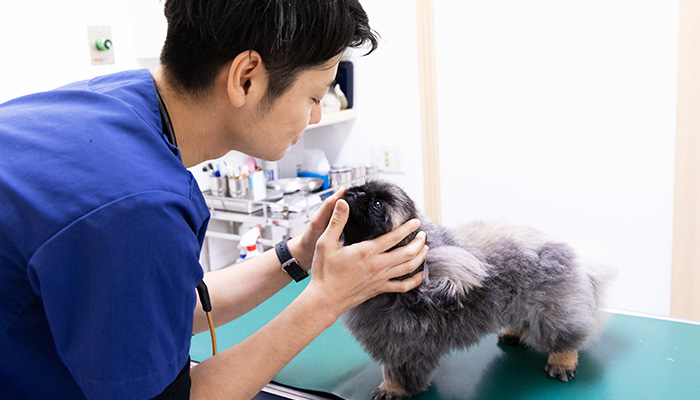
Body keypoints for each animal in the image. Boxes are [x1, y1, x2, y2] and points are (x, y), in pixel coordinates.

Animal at [342, 180, 608, 398]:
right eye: (364, 186)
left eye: (377, 204)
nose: (355, 190)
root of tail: (572, 252)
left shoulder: (403, 346)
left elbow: (398, 373)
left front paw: (393, 390)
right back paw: (512, 333)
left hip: (552, 310)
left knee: (565, 337)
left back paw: (562, 362)